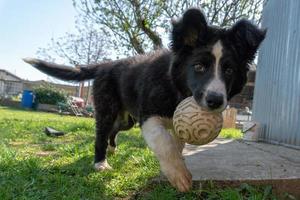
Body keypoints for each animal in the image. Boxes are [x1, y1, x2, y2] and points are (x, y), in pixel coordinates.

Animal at [24, 8, 266, 192]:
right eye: (198, 66)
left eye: (229, 70)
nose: (215, 101)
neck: (176, 88)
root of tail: (105, 65)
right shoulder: (148, 116)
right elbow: (164, 142)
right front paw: (178, 174)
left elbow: (176, 143)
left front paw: (175, 165)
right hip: (108, 108)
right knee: (102, 134)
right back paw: (101, 162)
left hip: (126, 119)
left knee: (114, 130)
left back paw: (112, 149)